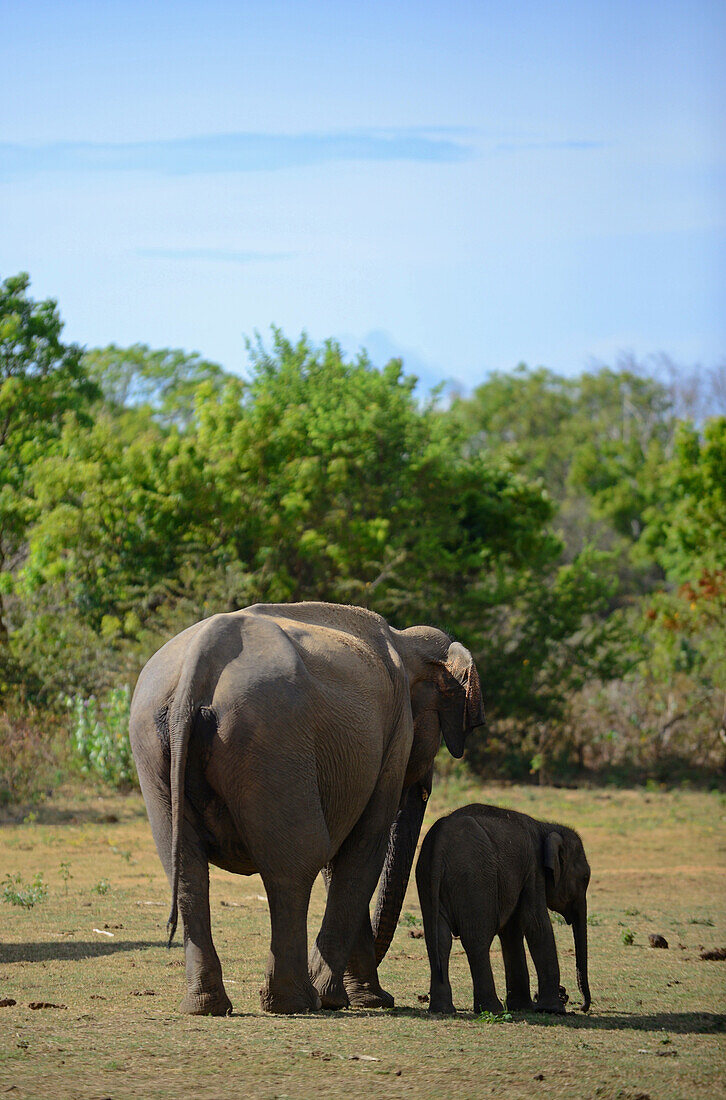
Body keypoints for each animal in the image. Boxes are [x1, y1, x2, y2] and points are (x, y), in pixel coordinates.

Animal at [130, 602, 481, 1012]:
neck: (404, 638)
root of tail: (199, 663)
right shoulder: (395, 737)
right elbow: (362, 849)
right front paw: (356, 1000)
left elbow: (342, 854)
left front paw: (358, 997)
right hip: (273, 738)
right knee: (294, 864)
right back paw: (297, 1001)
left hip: (155, 745)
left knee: (186, 868)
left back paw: (208, 1006)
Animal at [413, 805, 589, 1016]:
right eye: (585, 878)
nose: (582, 1006)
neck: (545, 826)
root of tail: (439, 844)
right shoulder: (533, 869)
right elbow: (536, 925)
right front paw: (553, 1010)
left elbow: (512, 931)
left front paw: (523, 1006)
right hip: (476, 879)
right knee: (477, 939)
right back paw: (492, 1009)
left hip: (430, 880)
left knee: (439, 939)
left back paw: (443, 1010)